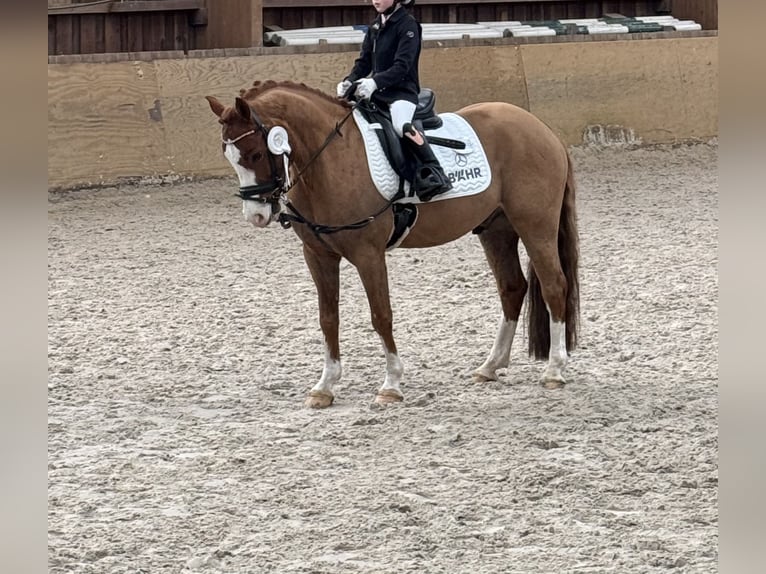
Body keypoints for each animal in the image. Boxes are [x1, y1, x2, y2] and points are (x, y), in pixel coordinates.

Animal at [205, 80, 579, 408]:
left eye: (255, 153)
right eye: (229, 156)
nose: (256, 215)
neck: (331, 160)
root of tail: (541, 128)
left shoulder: (368, 255)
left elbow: (381, 315)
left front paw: (391, 385)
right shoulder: (318, 255)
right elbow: (328, 318)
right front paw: (325, 387)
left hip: (535, 226)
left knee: (554, 285)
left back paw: (554, 370)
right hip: (495, 229)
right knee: (512, 288)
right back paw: (490, 366)